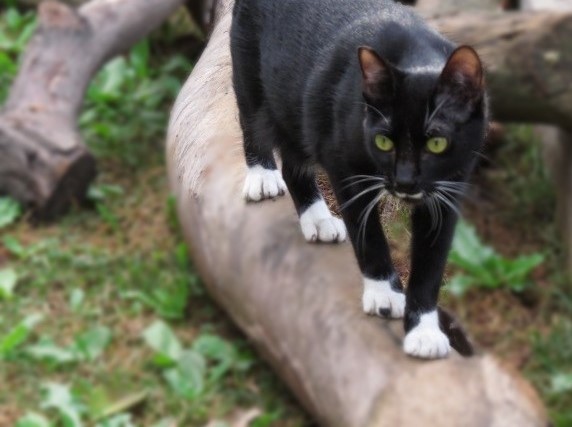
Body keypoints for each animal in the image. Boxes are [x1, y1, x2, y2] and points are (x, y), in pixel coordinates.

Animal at [231, 0, 488, 362]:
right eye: (384, 141)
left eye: (437, 143)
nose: (405, 182)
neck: (416, 55)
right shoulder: (343, 162)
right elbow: (368, 234)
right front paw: (384, 293)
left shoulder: (450, 186)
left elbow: (431, 261)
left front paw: (423, 331)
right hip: (250, 65)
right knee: (251, 115)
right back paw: (263, 177)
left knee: (295, 157)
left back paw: (318, 218)